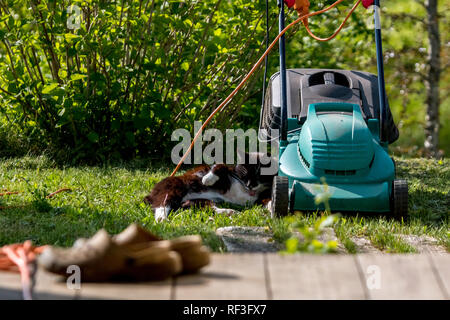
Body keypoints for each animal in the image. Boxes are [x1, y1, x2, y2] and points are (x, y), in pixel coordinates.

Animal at [144, 151, 274, 221]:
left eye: (260, 175)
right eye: (245, 173)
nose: (250, 185)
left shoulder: (260, 197)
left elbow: (267, 200)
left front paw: (271, 207)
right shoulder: (229, 171)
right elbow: (220, 166)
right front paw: (206, 179)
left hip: (198, 201)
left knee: (208, 207)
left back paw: (229, 212)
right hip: (173, 188)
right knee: (161, 205)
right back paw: (162, 219)